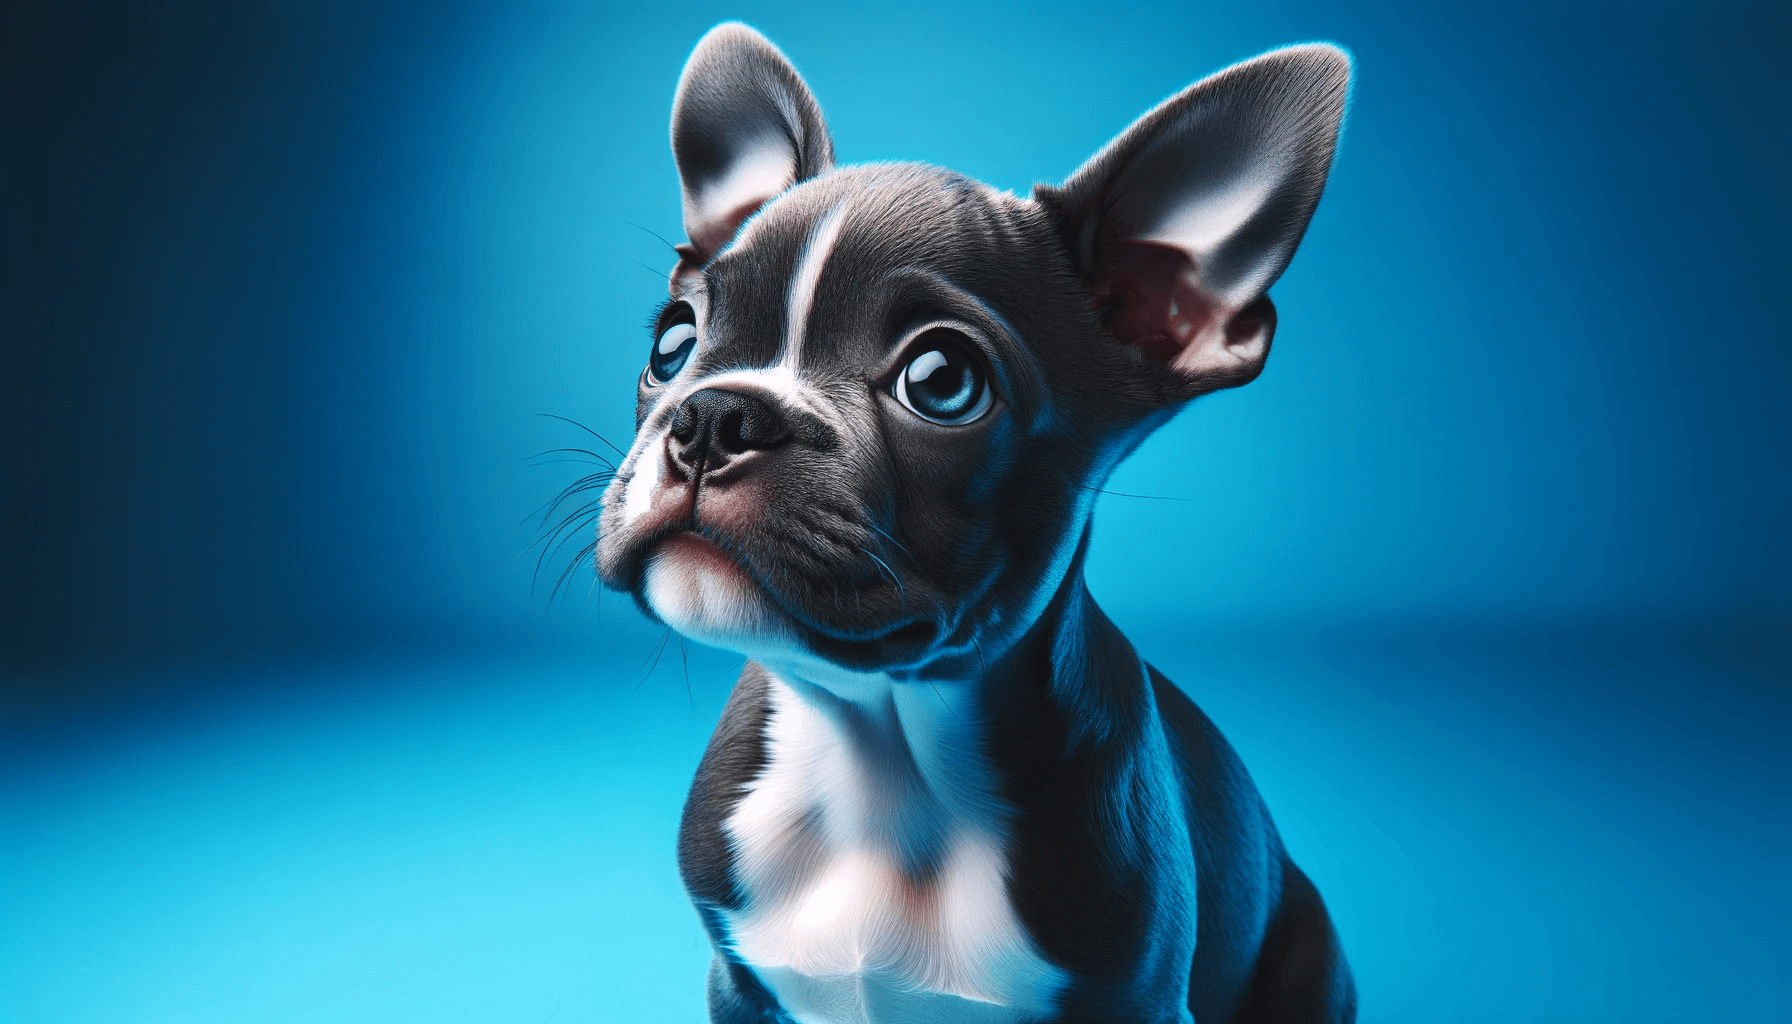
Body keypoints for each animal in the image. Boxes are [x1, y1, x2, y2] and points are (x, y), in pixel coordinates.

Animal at [594, 23, 1347, 1024]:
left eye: (942, 381)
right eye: (672, 343)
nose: (715, 416)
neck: (874, 750)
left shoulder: (1138, 1000)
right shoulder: (739, 982)